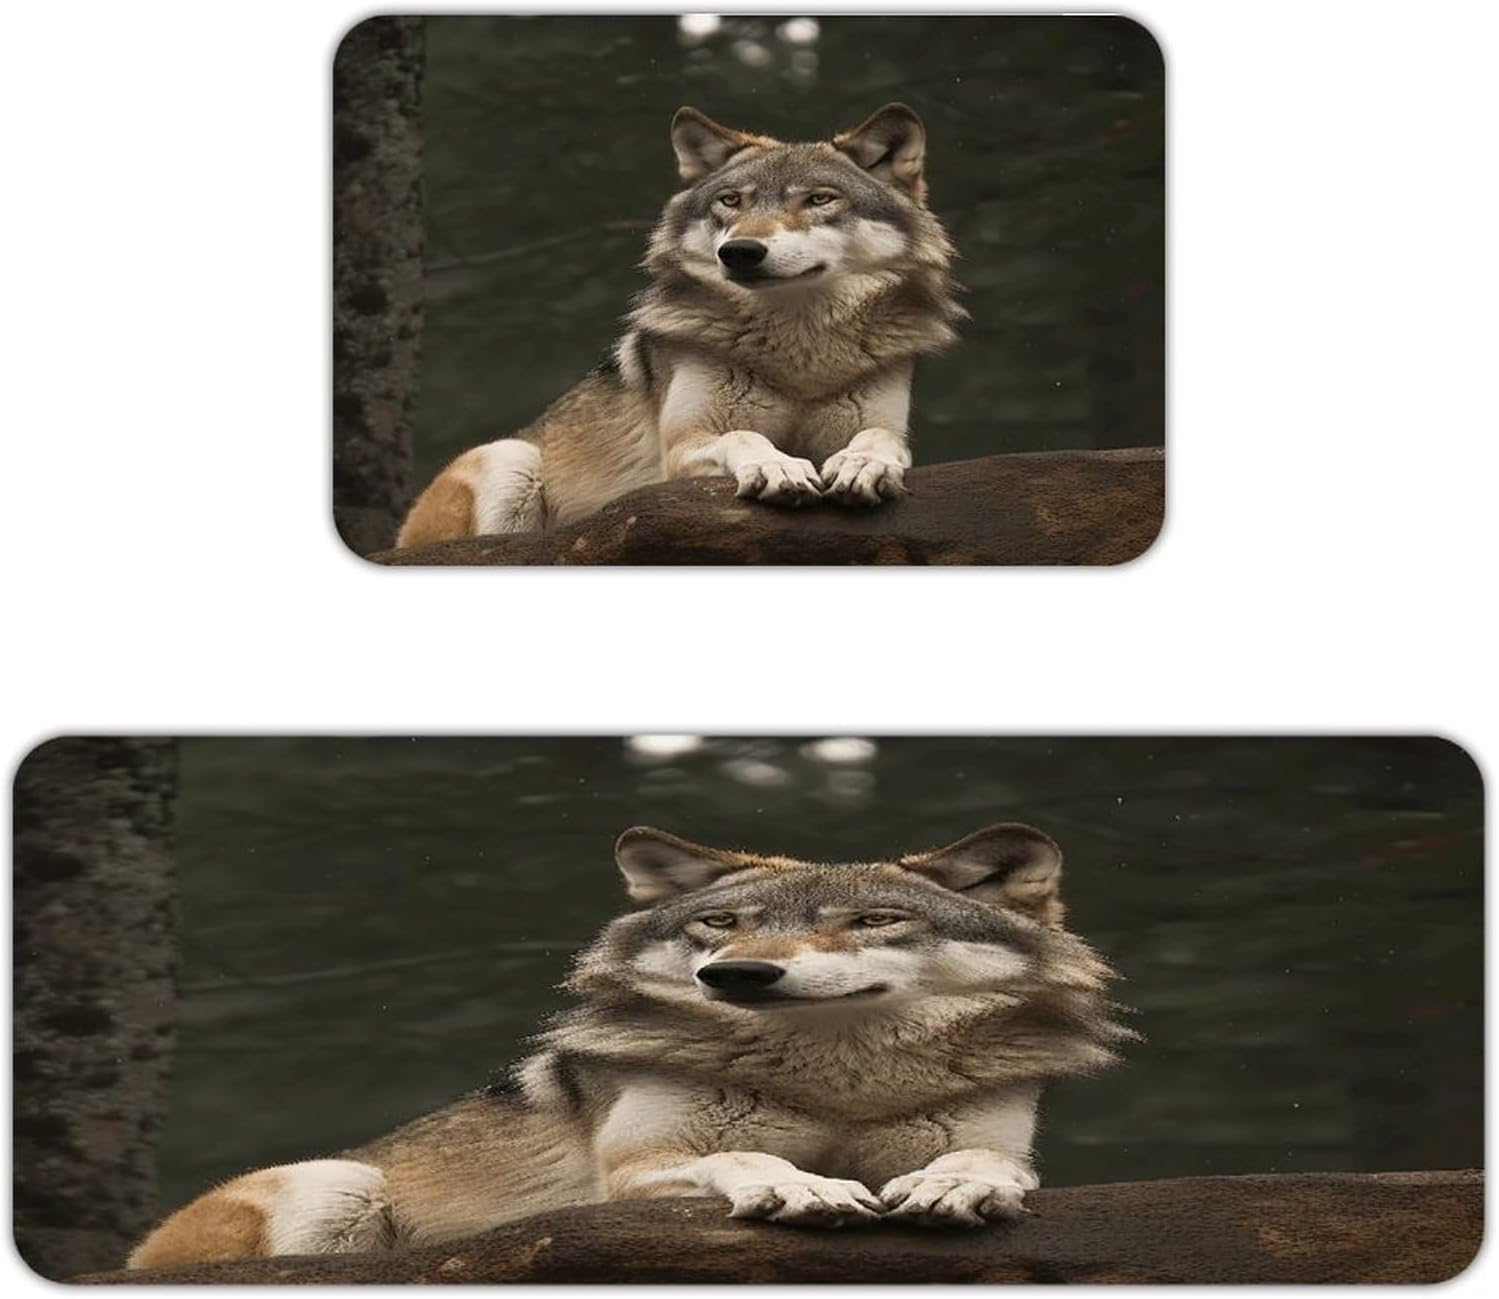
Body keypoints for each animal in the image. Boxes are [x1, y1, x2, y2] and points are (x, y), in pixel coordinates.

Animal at [128, 822, 1129, 1268]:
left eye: (873, 920)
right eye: (720, 922)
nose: (735, 975)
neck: (834, 1081)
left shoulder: (997, 1141)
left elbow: (986, 1166)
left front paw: (952, 1187)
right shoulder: (638, 1171)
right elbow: (742, 1155)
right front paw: (798, 1185)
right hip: (337, 1182)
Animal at [393, 102, 964, 548]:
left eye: (819, 199)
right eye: (731, 200)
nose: (740, 252)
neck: (798, 350)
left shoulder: (883, 423)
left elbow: (881, 440)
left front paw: (863, 465)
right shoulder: (684, 449)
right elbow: (744, 437)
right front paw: (778, 467)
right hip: (510, 458)